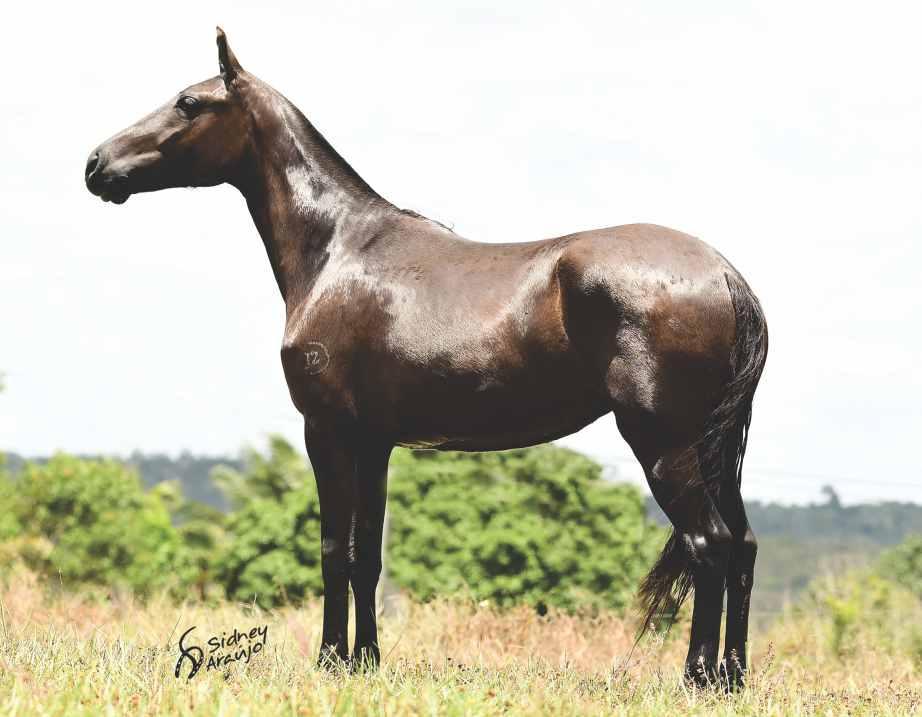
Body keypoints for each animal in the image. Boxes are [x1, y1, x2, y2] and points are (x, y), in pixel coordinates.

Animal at [86, 29, 764, 688]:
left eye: (189, 102)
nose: (97, 164)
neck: (338, 249)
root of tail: (726, 276)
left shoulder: (326, 431)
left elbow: (331, 551)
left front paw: (329, 661)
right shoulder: (374, 441)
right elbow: (366, 555)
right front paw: (365, 661)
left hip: (664, 444)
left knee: (709, 543)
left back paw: (697, 677)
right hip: (713, 452)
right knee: (743, 545)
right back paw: (732, 676)